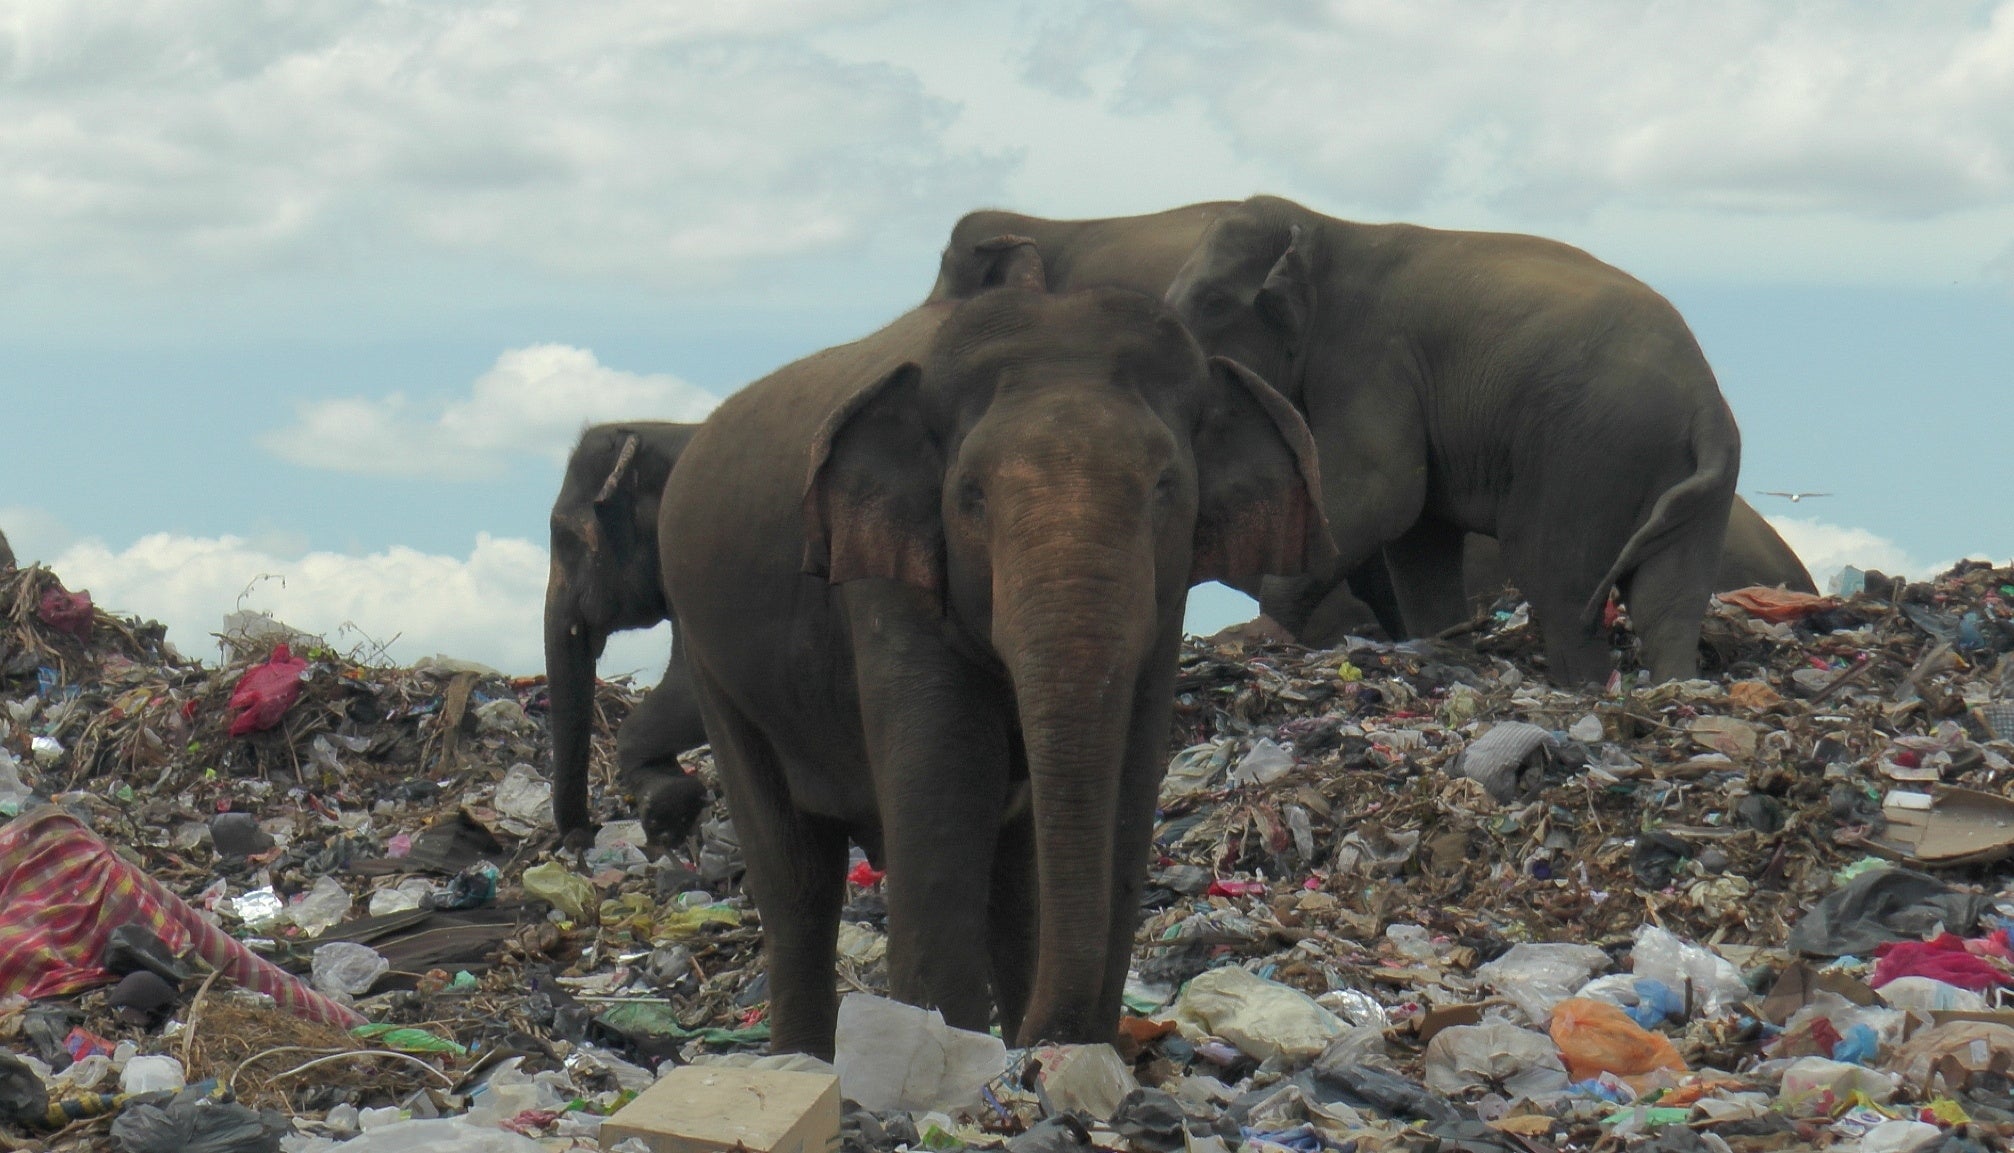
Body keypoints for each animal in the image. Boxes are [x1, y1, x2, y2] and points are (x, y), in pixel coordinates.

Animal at [660, 262, 1337, 1056]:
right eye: (971, 495)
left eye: (1166, 485)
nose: (1050, 1042)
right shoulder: (886, 585)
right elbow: (951, 777)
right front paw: (943, 1052)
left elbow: (1130, 777)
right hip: (711, 659)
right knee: (797, 874)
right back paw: (802, 1061)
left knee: (1008, 879)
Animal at [934, 198, 1740, 685]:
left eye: (1211, 302)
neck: (1330, 227)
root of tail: (1707, 398)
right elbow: (1417, 532)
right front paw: (1441, 641)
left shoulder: (1371, 353)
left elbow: (1384, 492)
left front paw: (1259, 636)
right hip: (1667, 467)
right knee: (1668, 590)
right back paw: (1669, 687)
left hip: (1586, 450)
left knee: (1558, 576)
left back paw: (1586, 688)